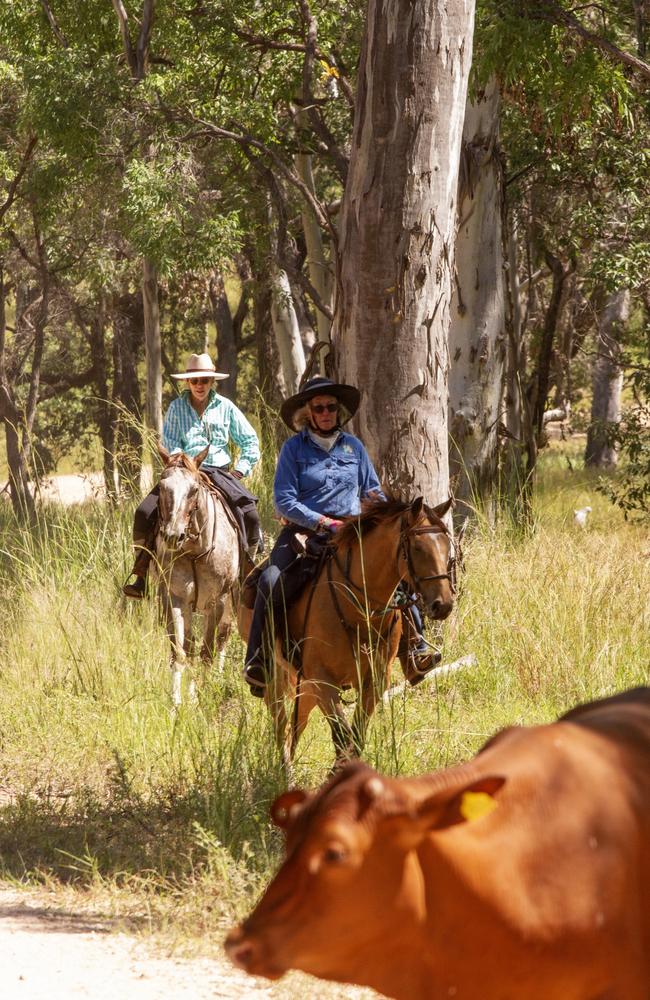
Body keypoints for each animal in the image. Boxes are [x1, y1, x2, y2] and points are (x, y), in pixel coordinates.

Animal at [153, 446, 239, 704]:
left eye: (193, 490)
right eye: (162, 486)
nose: (173, 536)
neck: (194, 552)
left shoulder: (217, 602)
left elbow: (207, 651)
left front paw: (200, 697)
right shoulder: (175, 599)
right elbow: (181, 652)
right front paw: (178, 703)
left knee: (223, 636)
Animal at [235, 496, 454, 768]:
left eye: (446, 546)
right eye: (417, 548)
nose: (443, 605)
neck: (360, 611)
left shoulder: (374, 681)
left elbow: (356, 736)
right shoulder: (323, 680)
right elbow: (342, 736)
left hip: (304, 684)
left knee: (296, 727)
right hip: (276, 677)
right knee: (280, 724)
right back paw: (284, 771)